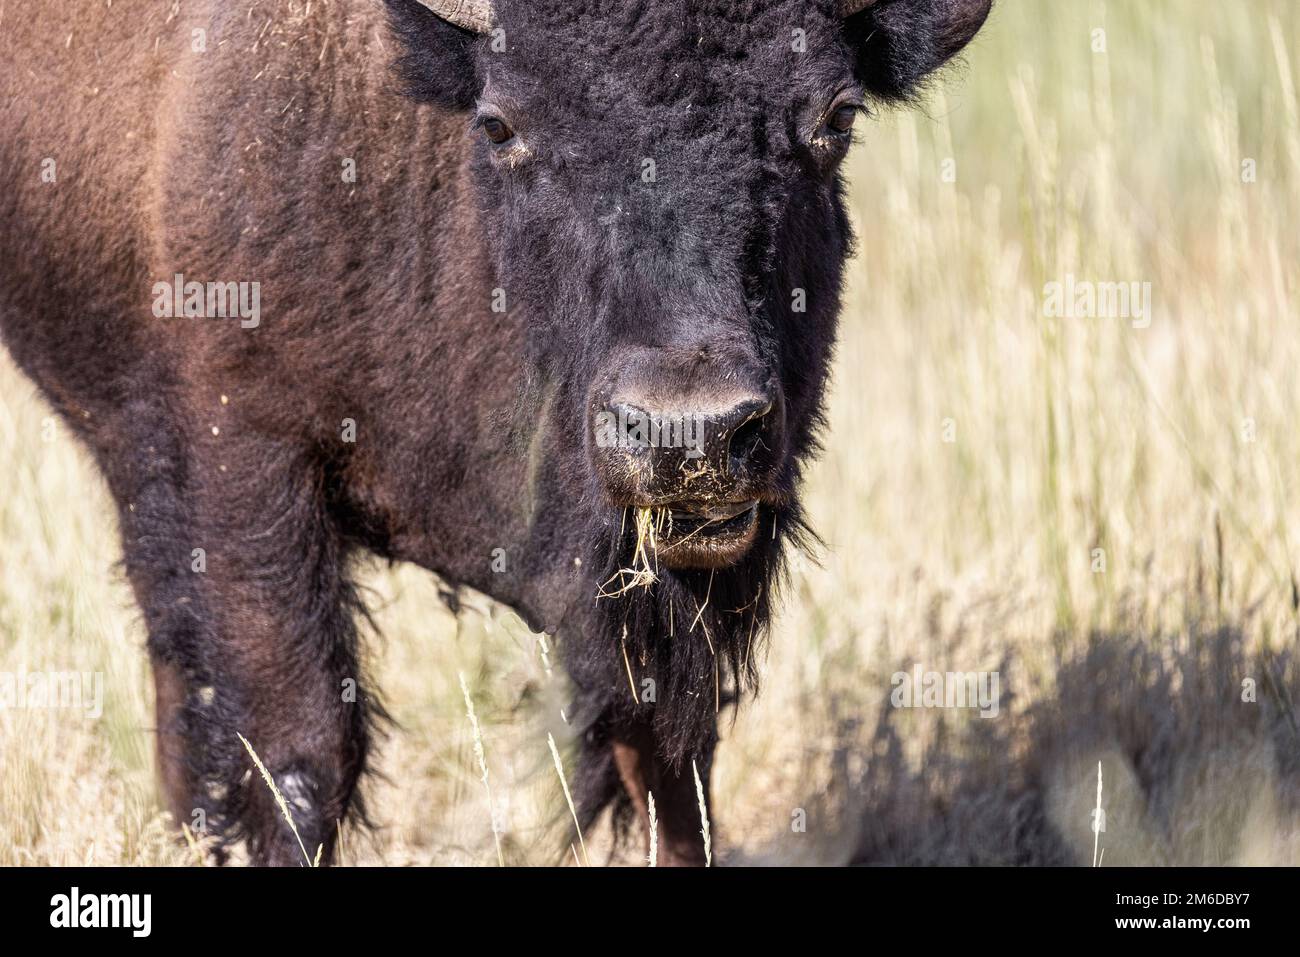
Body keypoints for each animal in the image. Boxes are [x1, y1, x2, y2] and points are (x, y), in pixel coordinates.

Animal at [0, 0, 987, 863]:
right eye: (502, 125)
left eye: (837, 115)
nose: (689, 433)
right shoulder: (242, 459)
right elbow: (298, 749)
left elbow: (670, 770)